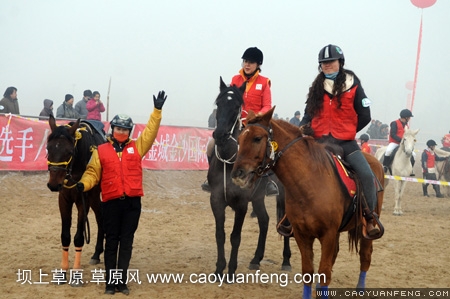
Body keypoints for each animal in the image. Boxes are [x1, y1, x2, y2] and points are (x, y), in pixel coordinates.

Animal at [46, 115, 105, 286]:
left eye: (69, 151)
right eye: (48, 148)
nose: (53, 184)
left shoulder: (82, 201)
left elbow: (79, 237)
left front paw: (76, 274)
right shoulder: (64, 199)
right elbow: (65, 236)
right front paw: (63, 272)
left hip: (94, 196)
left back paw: (97, 253)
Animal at [208, 77, 292, 282]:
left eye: (237, 106)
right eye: (218, 104)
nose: (219, 135)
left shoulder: (241, 204)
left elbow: (235, 237)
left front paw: (230, 271)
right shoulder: (216, 200)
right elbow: (220, 235)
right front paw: (219, 269)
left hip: (284, 196)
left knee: (285, 224)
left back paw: (286, 261)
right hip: (258, 197)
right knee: (265, 220)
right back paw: (256, 259)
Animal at [230, 107, 384, 298]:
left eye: (257, 138)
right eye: (240, 139)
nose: (238, 174)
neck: (310, 183)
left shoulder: (328, 234)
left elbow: (324, 272)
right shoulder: (302, 235)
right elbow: (309, 272)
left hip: (366, 230)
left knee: (365, 256)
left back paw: (360, 289)